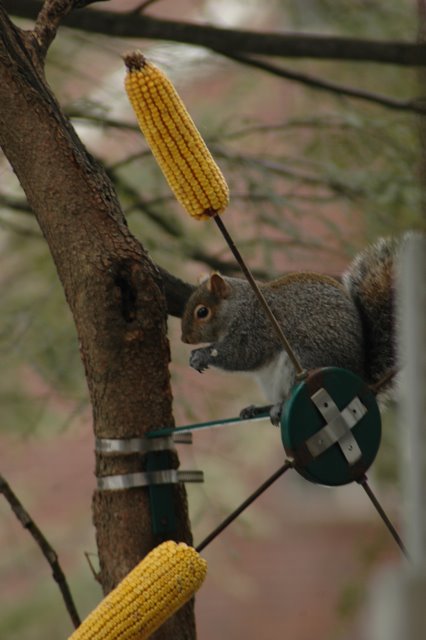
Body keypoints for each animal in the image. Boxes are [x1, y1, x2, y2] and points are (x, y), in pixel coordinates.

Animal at [181, 234, 406, 424]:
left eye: (202, 312)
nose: (185, 339)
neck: (239, 307)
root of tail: (360, 381)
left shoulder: (256, 327)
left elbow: (240, 355)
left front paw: (201, 355)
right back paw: (259, 408)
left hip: (304, 359)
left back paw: (279, 407)